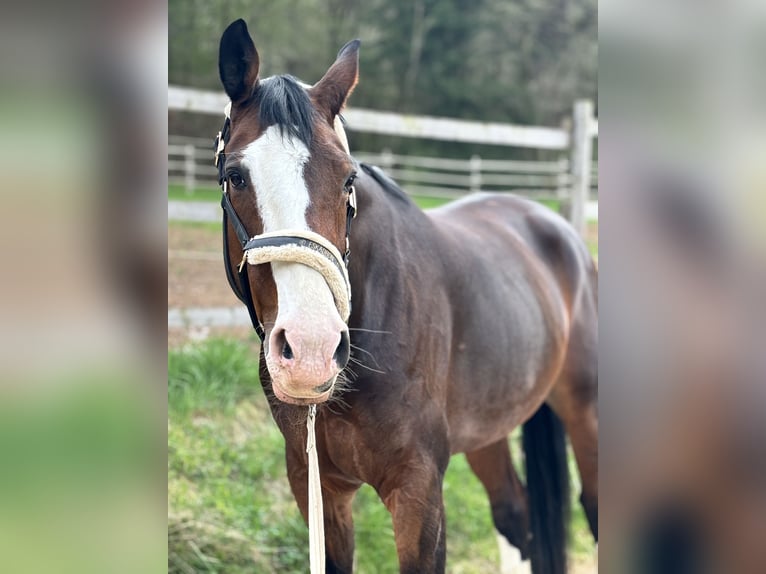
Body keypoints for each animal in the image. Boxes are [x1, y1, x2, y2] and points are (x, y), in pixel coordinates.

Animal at [215, 18, 598, 574]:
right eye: (234, 176)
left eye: (348, 178)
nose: (311, 351)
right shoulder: (317, 487)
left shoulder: (418, 490)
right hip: (489, 429)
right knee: (515, 513)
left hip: (585, 411)